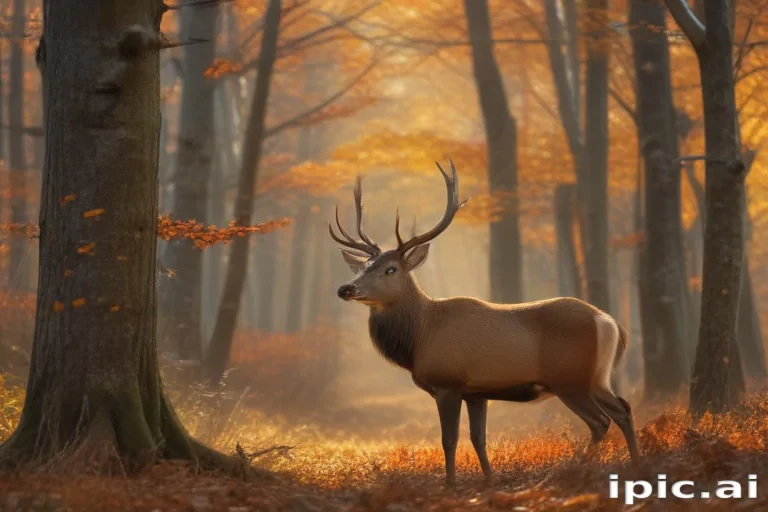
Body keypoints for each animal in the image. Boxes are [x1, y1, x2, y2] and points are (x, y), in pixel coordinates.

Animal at [329, 160, 641, 486]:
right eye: (362, 267)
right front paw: (490, 480)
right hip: (597, 377)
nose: (346, 289)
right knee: (623, 409)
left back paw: (569, 470)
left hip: (570, 378)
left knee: (600, 421)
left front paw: (451, 485)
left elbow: (449, 439)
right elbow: (479, 438)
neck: (420, 338)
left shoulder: (448, 382)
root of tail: (609, 322)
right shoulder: (477, 393)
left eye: (390, 269)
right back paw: (636, 465)